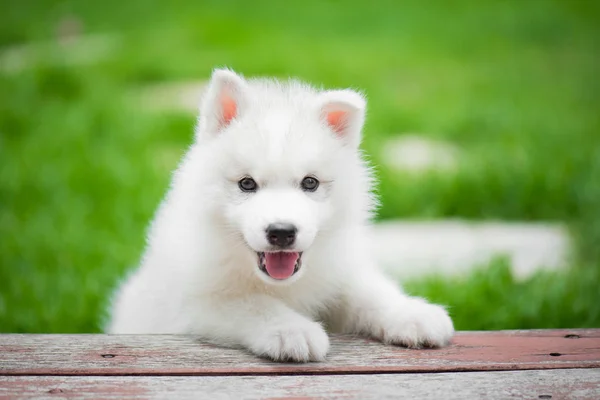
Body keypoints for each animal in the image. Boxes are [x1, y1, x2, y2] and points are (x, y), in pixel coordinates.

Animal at [109, 69, 454, 362]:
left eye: (310, 183)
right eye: (247, 183)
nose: (282, 232)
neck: (282, 285)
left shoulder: (337, 269)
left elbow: (367, 291)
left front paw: (412, 313)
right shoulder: (197, 302)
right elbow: (252, 304)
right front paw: (292, 331)